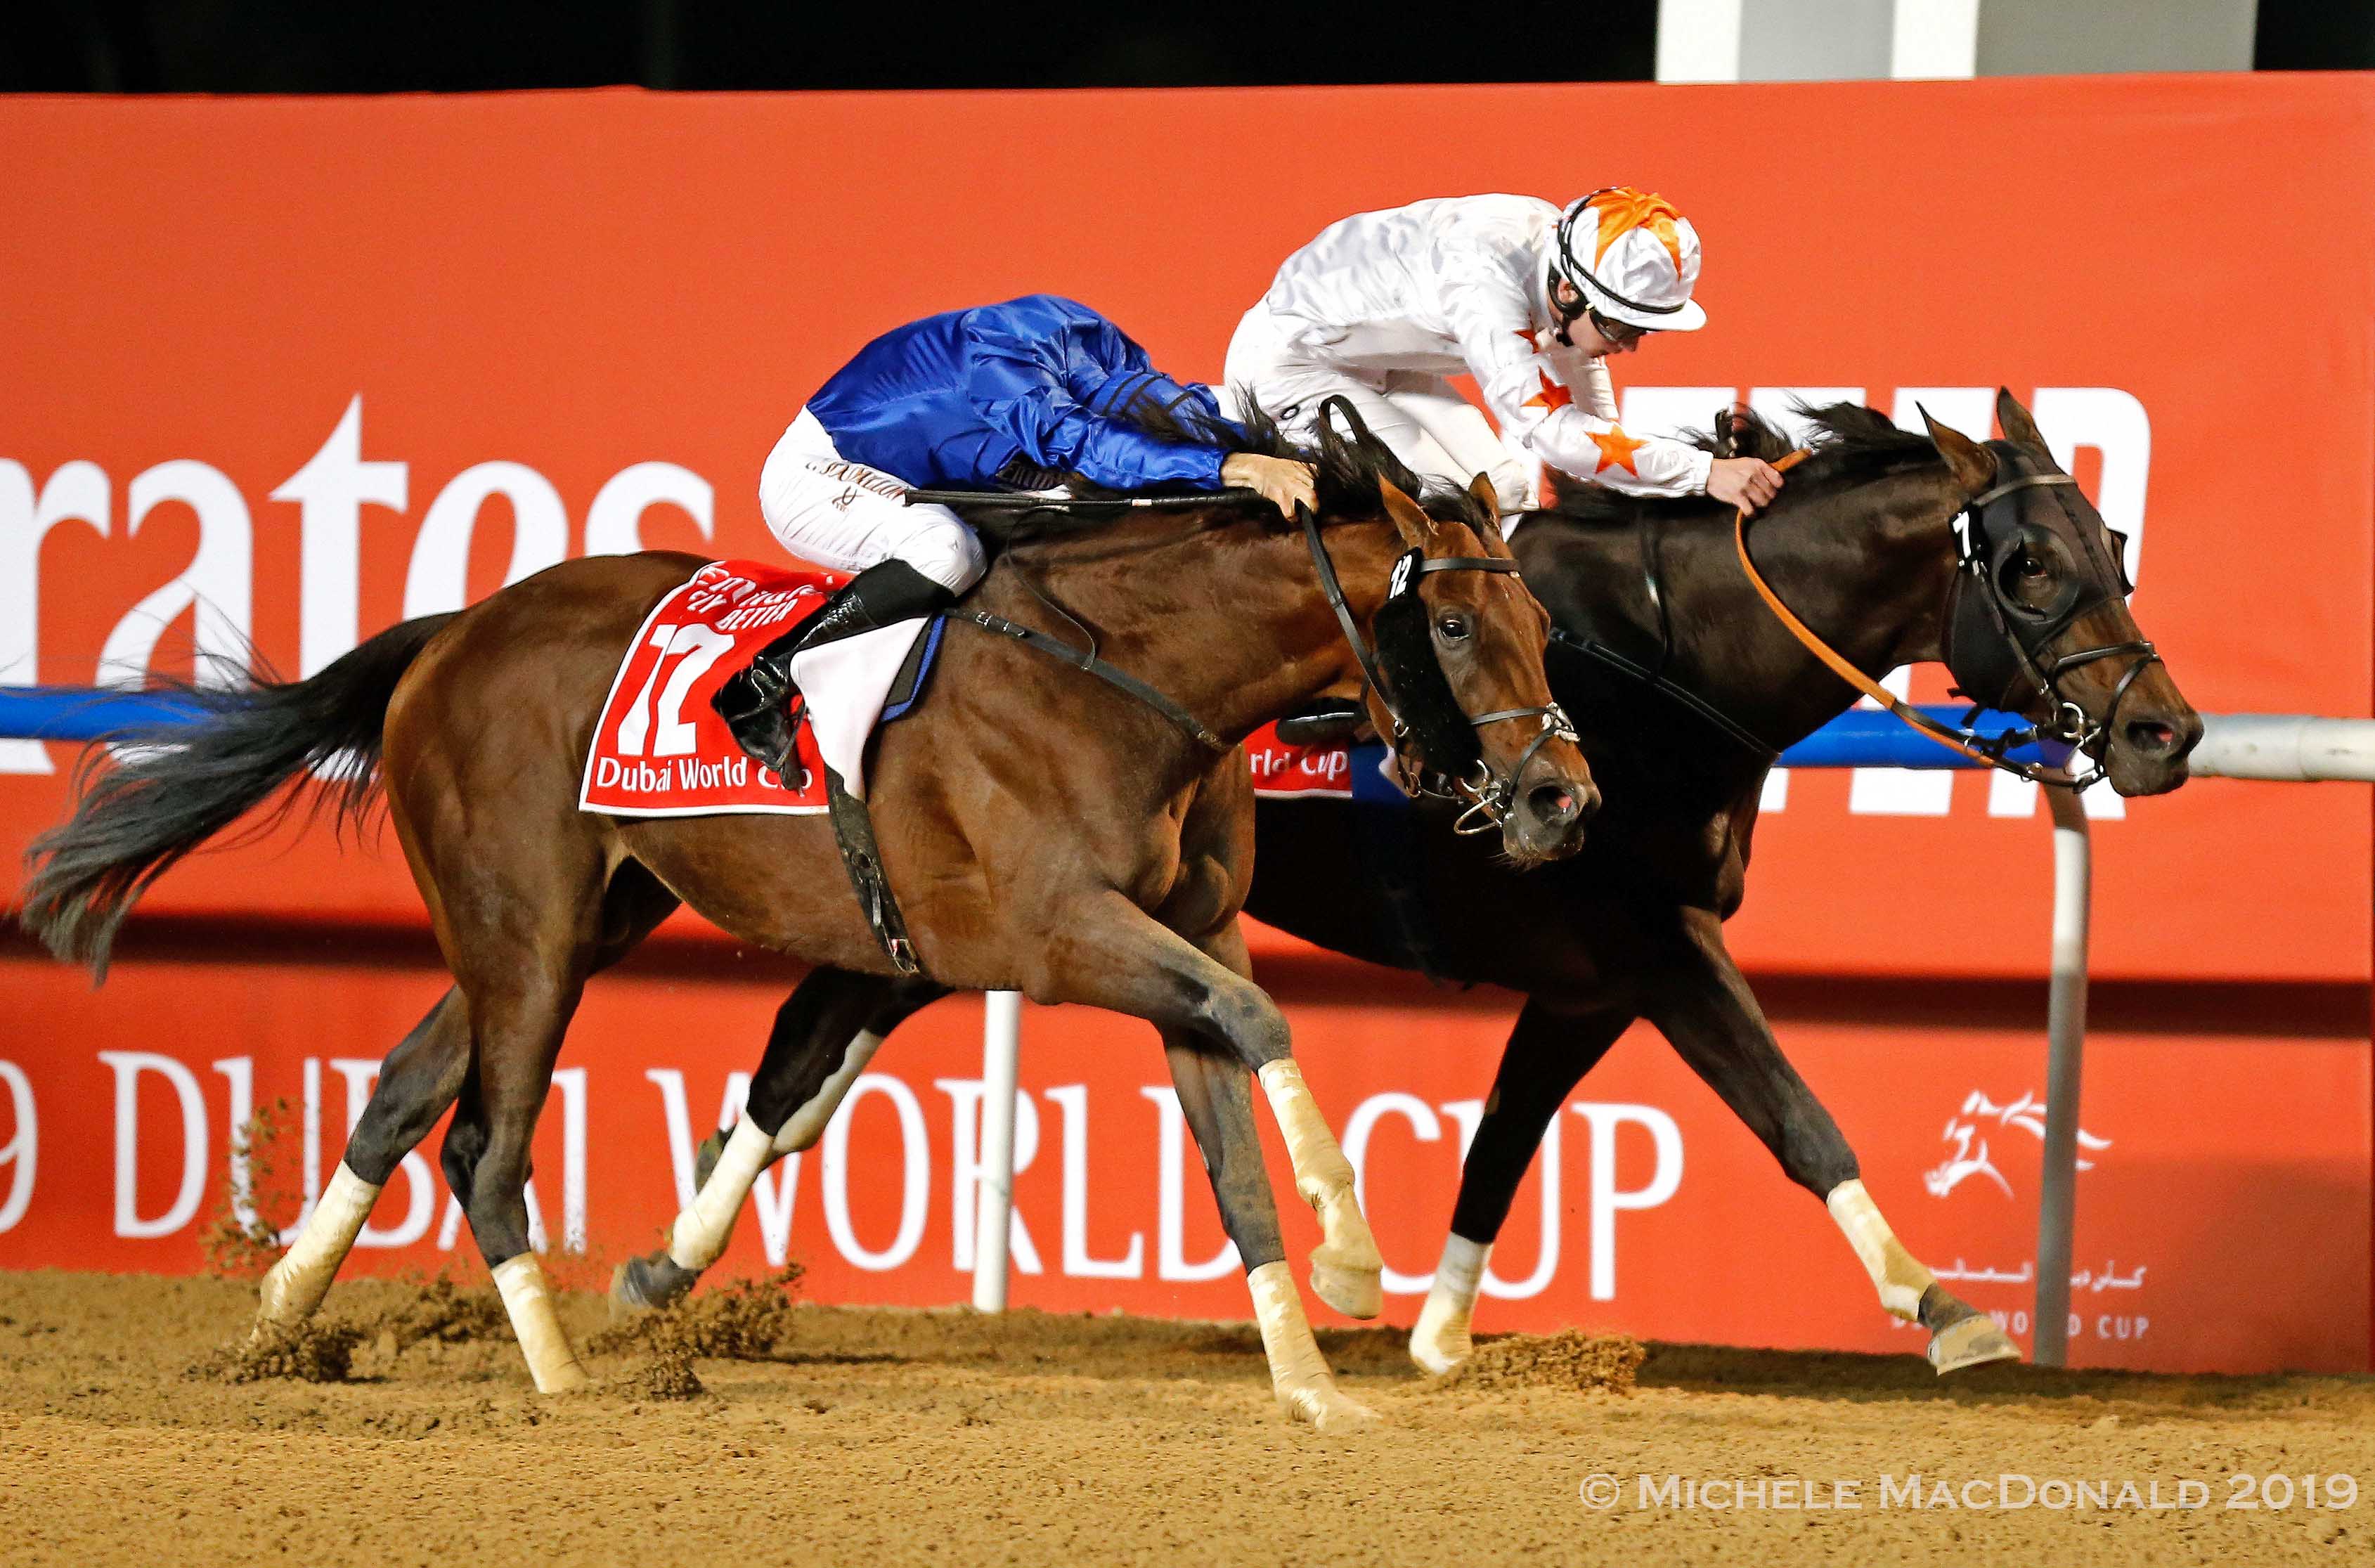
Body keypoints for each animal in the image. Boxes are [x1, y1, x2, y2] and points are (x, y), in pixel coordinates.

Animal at [18, 410, 1596, 1425]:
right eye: (1453, 625)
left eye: (1541, 624)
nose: (1557, 797)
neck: (1127, 678)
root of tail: (449, 633)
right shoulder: (1050, 935)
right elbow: (1263, 1024)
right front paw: (1351, 1256)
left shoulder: (1183, 941)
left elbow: (1233, 1142)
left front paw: (1315, 1380)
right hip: (530, 928)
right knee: (483, 1140)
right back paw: (559, 1377)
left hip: (563, 920)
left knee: (407, 1089)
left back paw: (279, 1326)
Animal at [636, 394, 2203, 1387]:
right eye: (2028, 562)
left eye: (2119, 547)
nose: (2162, 732)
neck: (1654, 663)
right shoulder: (1649, 942)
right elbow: (1795, 1114)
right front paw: (1939, 1301)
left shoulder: (1590, 974)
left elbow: (1504, 1140)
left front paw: (1439, 1328)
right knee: (800, 1058)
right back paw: (672, 1260)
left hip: (958, 914)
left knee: (809, 1050)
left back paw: (674, 1254)